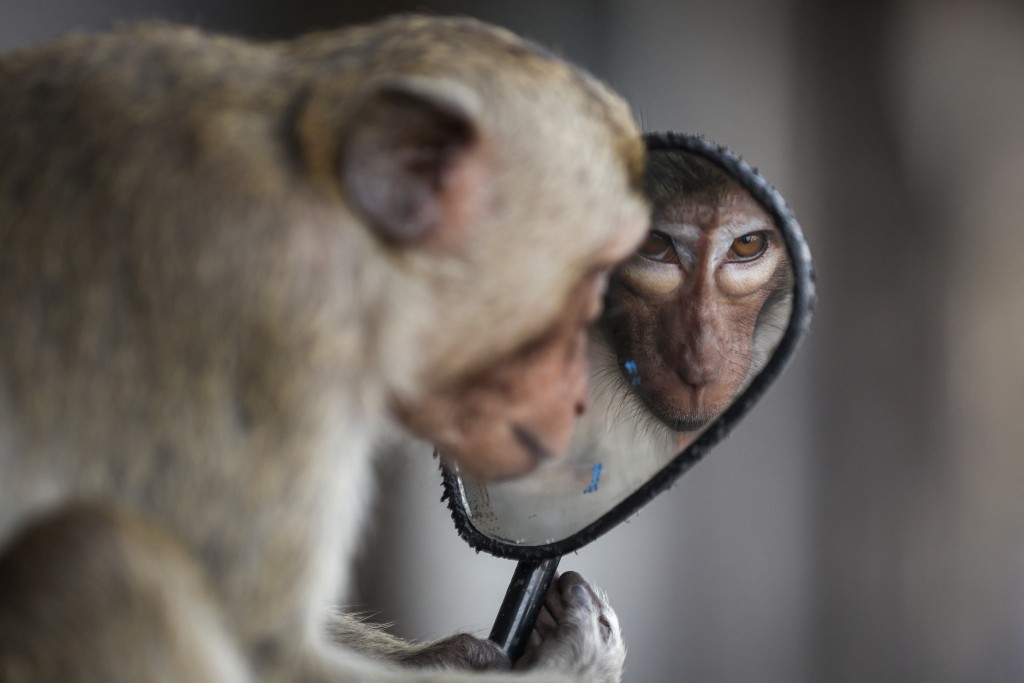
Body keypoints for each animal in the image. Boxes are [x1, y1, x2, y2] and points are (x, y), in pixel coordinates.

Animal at [0, 15, 647, 683]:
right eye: (600, 274)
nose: (580, 398)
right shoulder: (276, 317)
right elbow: (272, 648)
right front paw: (573, 657)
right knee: (89, 553)